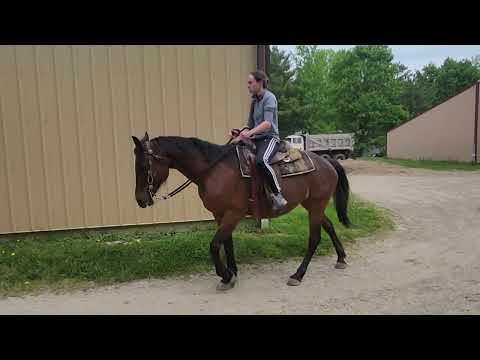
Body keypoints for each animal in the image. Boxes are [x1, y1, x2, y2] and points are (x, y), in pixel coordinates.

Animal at [130, 132, 348, 292]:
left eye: (143, 165)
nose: (140, 200)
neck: (213, 170)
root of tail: (327, 162)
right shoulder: (220, 215)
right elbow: (227, 244)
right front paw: (231, 274)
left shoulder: (233, 213)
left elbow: (214, 245)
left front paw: (225, 275)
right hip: (312, 205)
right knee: (329, 225)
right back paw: (341, 258)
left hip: (316, 204)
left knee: (314, 238)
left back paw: (298, 275)